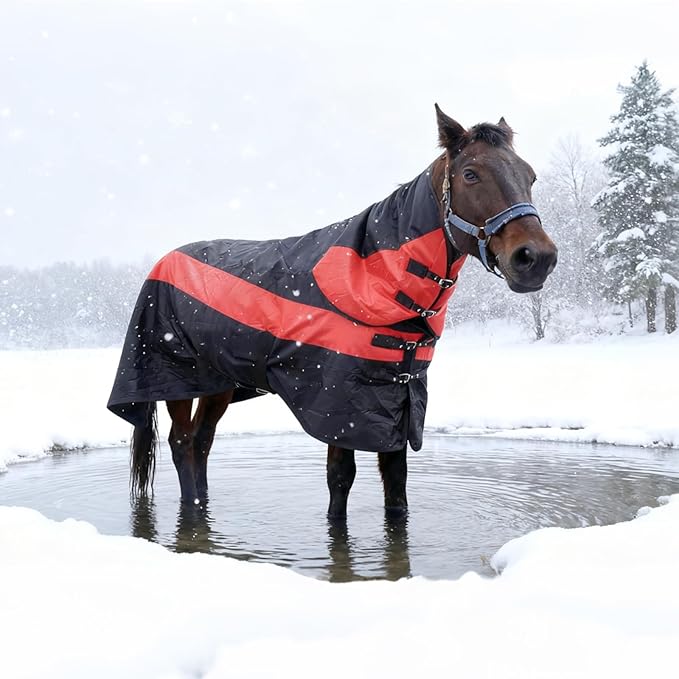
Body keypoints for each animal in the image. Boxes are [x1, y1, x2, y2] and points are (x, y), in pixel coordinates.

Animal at [108, 104, 557, 519]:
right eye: (470, 174)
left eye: (530, 175)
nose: (536, 258)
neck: (375, 277)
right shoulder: (340, 408)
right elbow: (340, 483)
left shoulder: (396, 404)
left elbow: (396, 488)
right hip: (177, 380)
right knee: (182, 442)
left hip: (218, 384)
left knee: (201, 442)